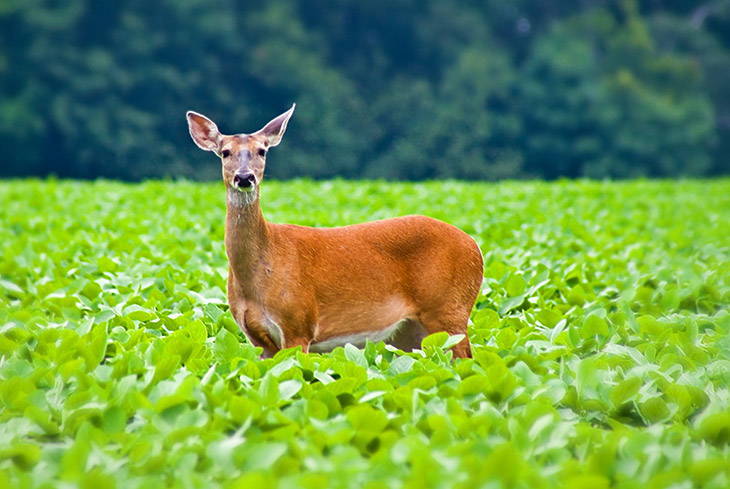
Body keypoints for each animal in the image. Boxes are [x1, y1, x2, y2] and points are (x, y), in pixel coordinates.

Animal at [186, 105, 484, 358]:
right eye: (225, 152)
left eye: (262, 150)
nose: (245, 177)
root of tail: (475, 246)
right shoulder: (258, 340)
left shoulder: (299, 324)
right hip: (410, 331)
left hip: (451, 309)